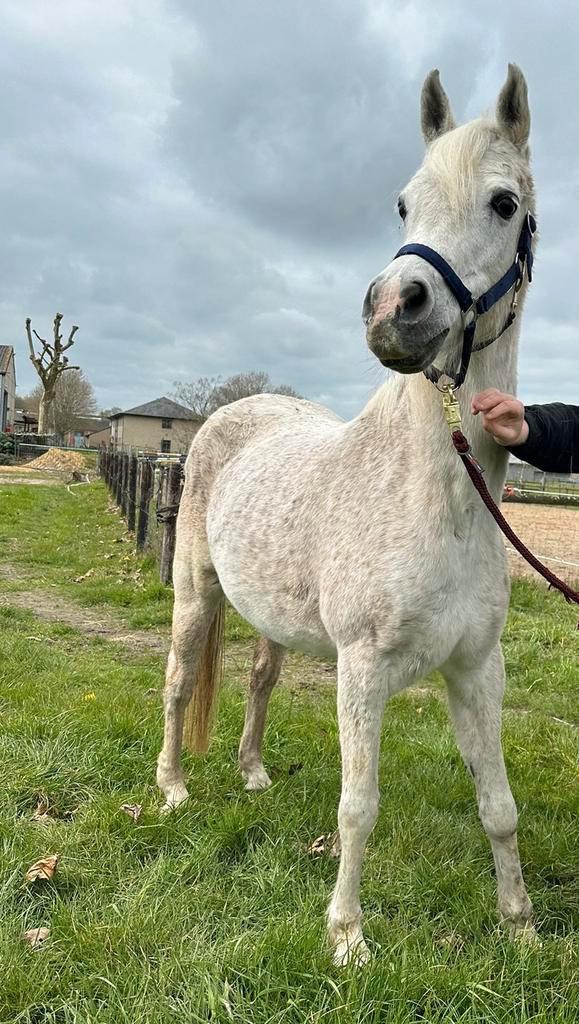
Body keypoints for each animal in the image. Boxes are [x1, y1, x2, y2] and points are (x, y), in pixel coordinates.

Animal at [157, 64, 537, 965]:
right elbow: (357, 807)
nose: (394, 306)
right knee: (180, 680)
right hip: (196, 596)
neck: (437, 503)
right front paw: (347, 937)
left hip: (271, 616)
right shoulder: (361, 673)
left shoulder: (477, 670)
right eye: (401, 204)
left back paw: (252, 773)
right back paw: (174, 789)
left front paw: (520, 926)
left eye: (503, 202)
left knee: (258, 680)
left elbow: (498, 804)